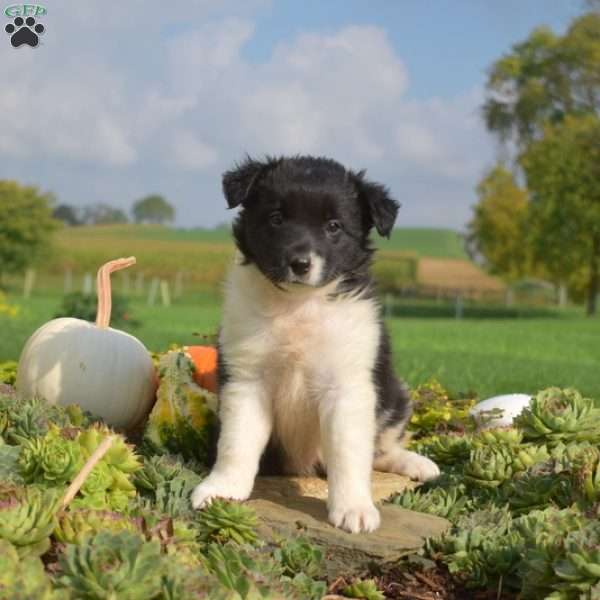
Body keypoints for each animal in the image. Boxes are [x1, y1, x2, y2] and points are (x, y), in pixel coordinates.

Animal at [193, 156, 440, 536]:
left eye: (334, 226)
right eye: (276, 218)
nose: (300, 263)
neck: (298, 305)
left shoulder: (348, 386)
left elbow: (349, 452)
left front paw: (354, 508)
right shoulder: (246, 378)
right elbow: (236, 442)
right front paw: (222, 488)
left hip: (395, 394)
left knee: (380, 448)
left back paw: (417, 463)